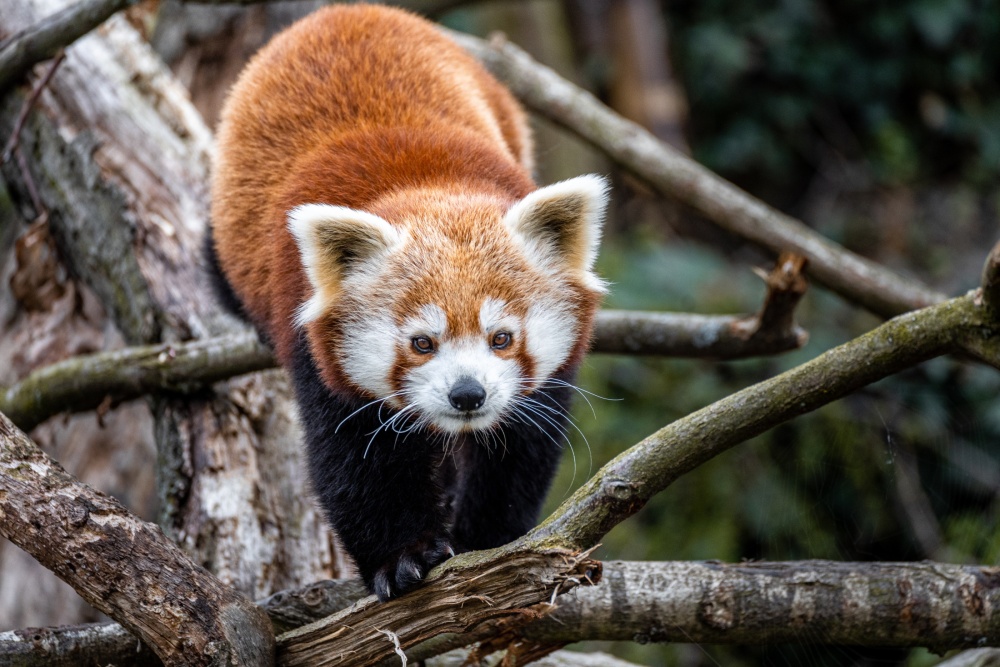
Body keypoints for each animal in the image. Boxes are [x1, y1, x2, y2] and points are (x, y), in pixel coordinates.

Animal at [207, 3, 604, 600]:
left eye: (502, 338)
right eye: (421, 343)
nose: (467, 394)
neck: (427, 184)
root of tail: (346, 12)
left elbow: (517, 451)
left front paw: (489, 541)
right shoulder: (313, 341)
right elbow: (356, 465)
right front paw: (403, 558)